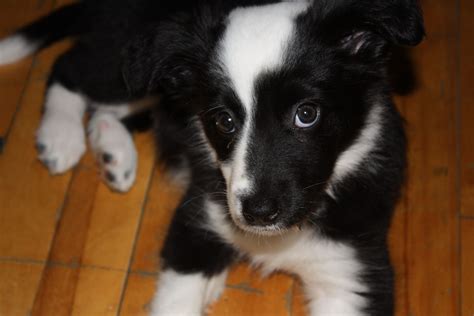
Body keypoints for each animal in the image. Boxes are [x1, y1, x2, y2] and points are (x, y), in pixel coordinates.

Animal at [0, 0, 424, 314]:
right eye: (224, 121)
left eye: (307, 113)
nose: (258, 212)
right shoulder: (193, 231)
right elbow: (176, 301)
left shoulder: (352, 273)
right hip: (129, 66)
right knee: (69, 68)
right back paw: (60, 137)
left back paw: (113, 155)